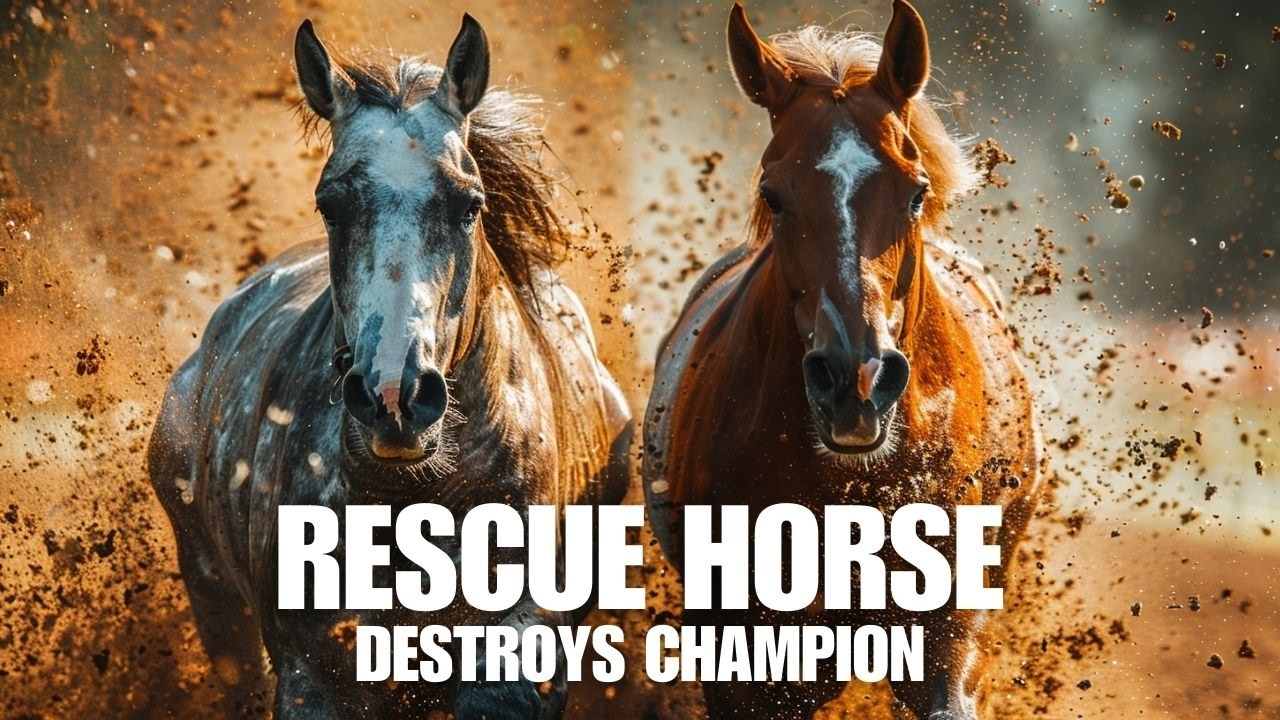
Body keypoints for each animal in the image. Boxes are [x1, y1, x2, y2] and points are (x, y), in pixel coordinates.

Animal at [147, 15, 631, 719]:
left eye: (470, 203)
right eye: (331, 204)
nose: (395, 398)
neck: (417, 500)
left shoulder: (523, 639)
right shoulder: (311, 672)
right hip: (214, 601)